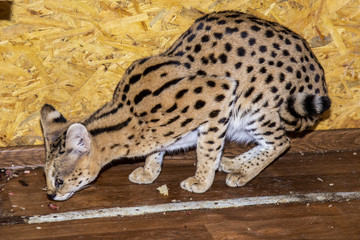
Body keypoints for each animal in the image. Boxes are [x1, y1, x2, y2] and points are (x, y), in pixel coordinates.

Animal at [40, 11, 330, 202]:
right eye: (47, 178)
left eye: (59, 180)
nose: (51, 195)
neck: (129, 115)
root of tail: (320, 81)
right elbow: (156, 153)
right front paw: (149, 172)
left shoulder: (220, 95)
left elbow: (207, 150)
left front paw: (201, 181)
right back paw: (234, 163)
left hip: (254, 107)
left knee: (281, 142)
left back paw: (243, 172)